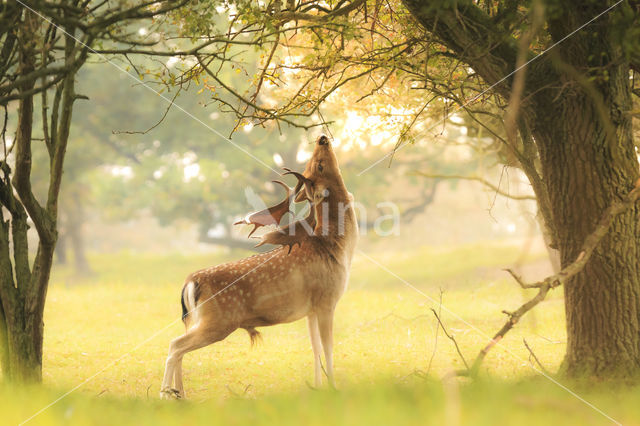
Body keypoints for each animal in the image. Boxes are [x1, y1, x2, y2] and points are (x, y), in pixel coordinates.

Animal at [160, 135, 358, 398]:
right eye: (319, 165)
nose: (322, 138)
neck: (338, 249)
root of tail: (192, 281)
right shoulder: (327, 299)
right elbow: (328, 346)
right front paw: (333, 388)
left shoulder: (311, 309)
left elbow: (315, 348)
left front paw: (317, 387)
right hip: (219, 321)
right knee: (175, 345)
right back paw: (165, 394)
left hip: (207, 320)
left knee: (178, 346)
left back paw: (180, 394)